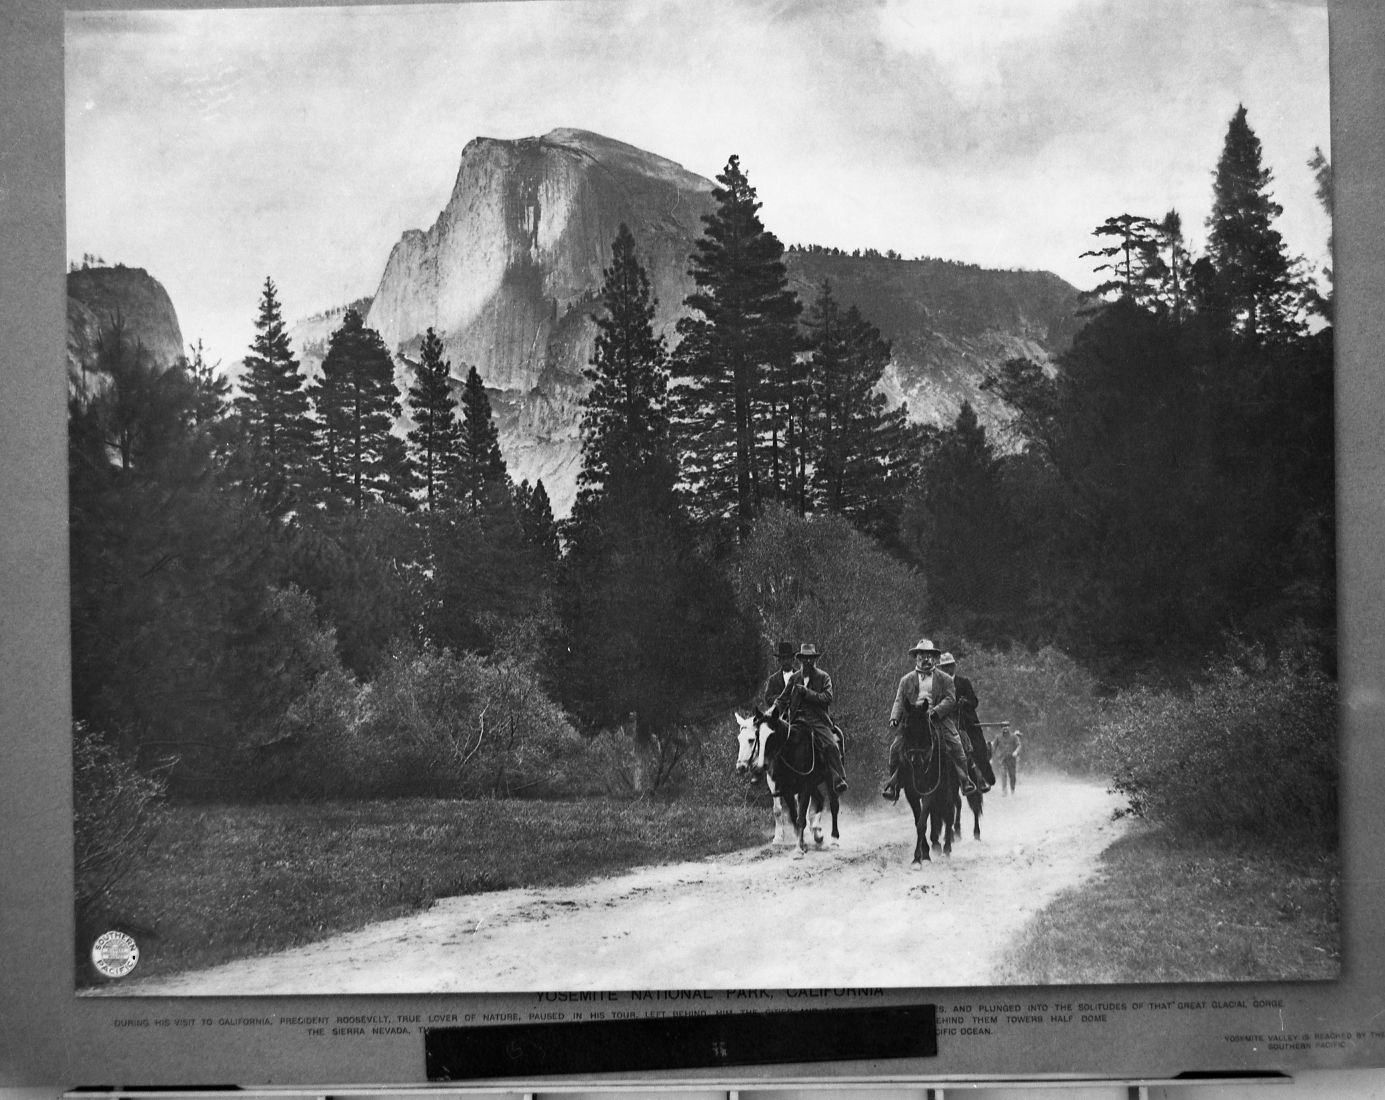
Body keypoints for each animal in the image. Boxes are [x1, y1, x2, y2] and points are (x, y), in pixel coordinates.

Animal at [897, 703, 952, 864]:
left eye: (924, 728)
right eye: (906, 727)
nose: (916, 760)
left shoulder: (930, 790)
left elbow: (922, 823)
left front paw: (918, 858)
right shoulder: (911, 793)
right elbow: (918, 821)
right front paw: (924, 854)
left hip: (948, 788)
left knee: (949, 813)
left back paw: (947, 848)